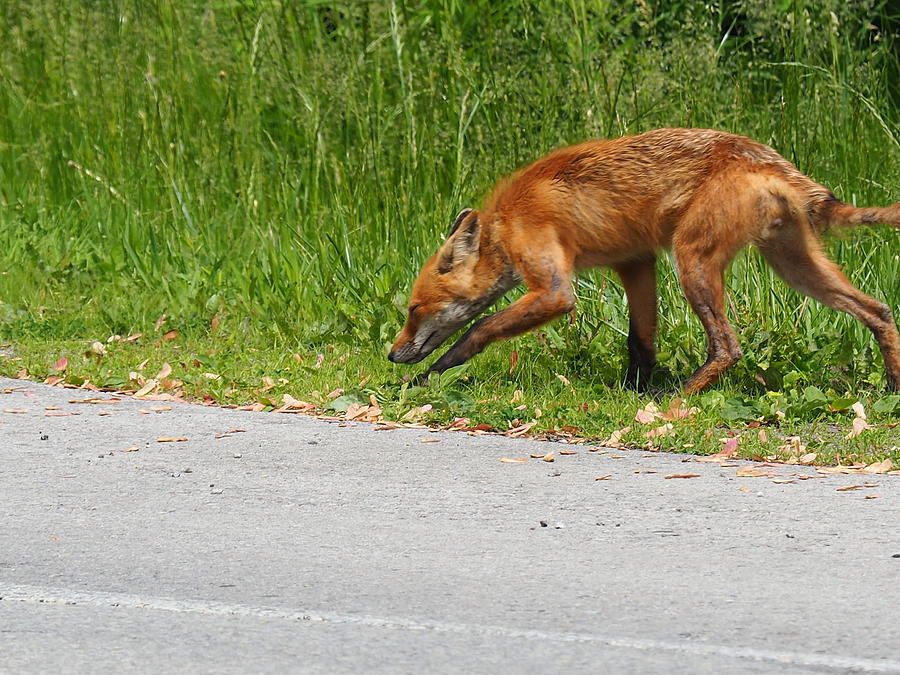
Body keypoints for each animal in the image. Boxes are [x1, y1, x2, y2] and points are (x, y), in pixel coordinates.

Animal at [390, 129, 900, 394]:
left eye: (414, 309)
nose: (392, 355)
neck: (506, 222)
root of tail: (767, 158)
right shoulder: (635, 263)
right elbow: (640, 343)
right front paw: (631, 390)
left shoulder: (554, 290)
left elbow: (480, 328)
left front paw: (432, 374)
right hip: (794, 267)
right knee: (878, 310)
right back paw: (894, 386)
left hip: (692, 261)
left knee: (728, 348)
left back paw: (676, 401)